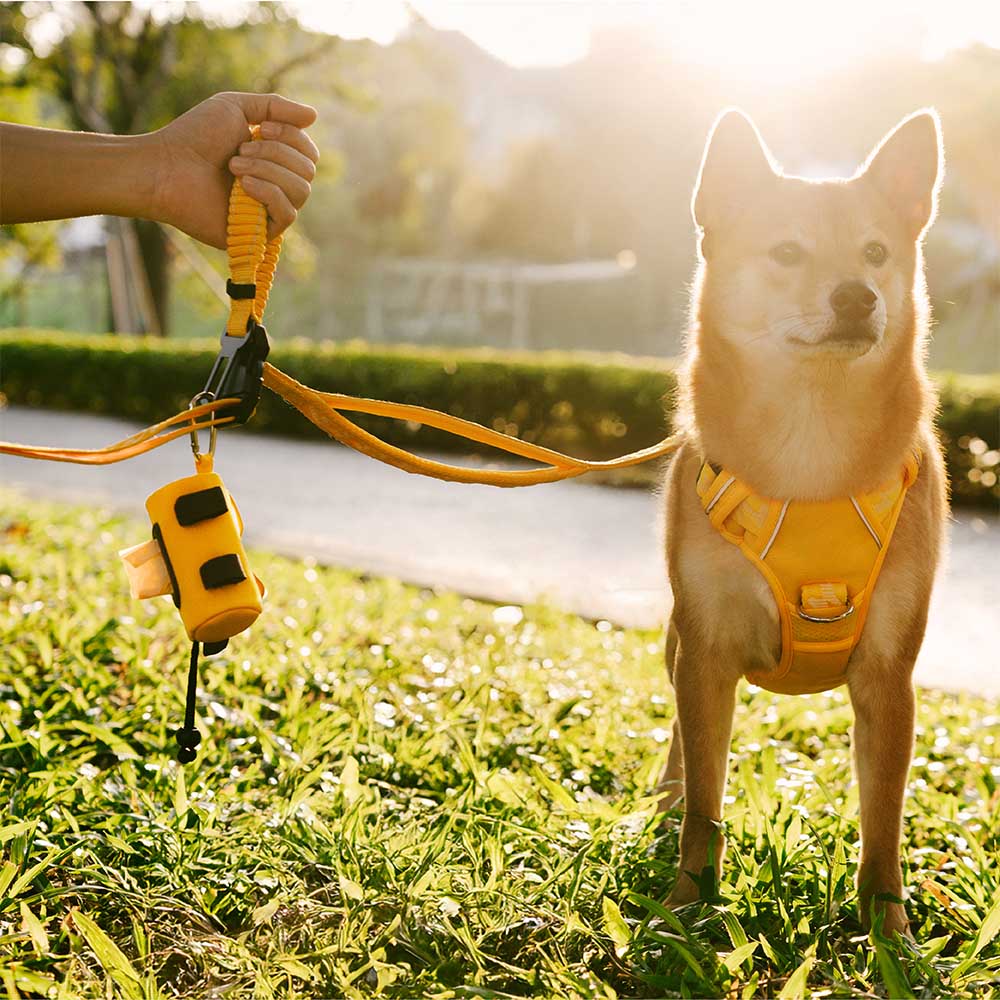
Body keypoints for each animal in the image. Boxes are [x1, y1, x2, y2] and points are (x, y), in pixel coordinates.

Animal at [660, 109, 948, 936]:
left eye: (877, 252)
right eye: (787, 251)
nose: (857, 294)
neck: (810, 448)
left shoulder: (889, 674)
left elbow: (882, 818)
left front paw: (888, 930)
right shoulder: (706, 651)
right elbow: (705, 803)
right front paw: (686, 904)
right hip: (676, 641)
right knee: (681, 751)